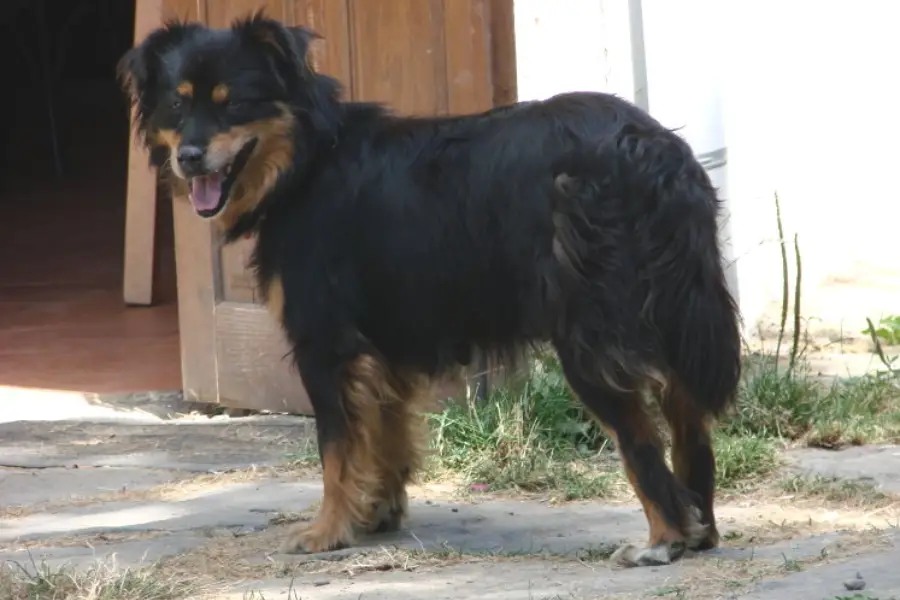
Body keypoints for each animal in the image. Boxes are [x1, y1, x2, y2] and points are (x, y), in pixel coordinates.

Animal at [118, 14, 740, 568]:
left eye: (233, 104)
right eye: (178, 105)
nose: (188, 157)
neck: (306, 159)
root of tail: (653, 151)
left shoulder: (326, 344)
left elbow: (336, 448)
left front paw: (326, 531)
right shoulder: (382, 346)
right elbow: (384, 434)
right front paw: (376, 513)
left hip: (590, 334)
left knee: (638, 440)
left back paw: (663, 540)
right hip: (673, 315)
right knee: (688, 422)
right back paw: (701, 530)